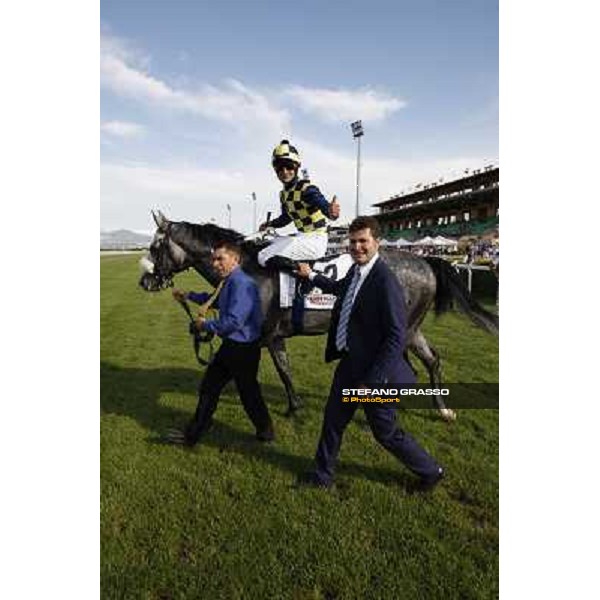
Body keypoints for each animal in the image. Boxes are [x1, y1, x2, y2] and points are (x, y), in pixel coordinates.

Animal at [139, 211, 496, 422]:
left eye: (155, 247)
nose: (144, 281)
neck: (248, 269)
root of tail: (425, 261)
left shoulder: (267, 336)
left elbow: (279, 372)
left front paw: (293, 407)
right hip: (412, 327)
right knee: (432, 359)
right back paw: (441, 409)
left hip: (404, 329)